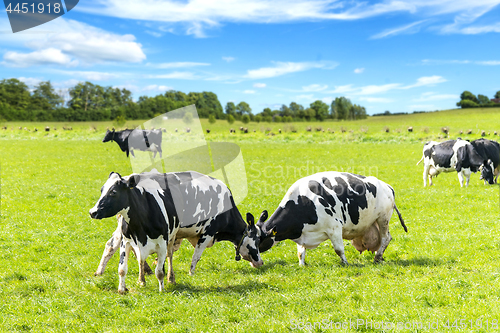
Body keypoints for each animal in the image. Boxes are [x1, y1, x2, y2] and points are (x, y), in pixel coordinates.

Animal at [90, 170, 264, 292]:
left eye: (113, 191)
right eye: (256, 241)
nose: (260, 262)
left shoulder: (171, 237)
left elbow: (166, 259)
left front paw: (166, 278)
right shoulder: (208, 232)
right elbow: (196, 256)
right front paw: (191, 274)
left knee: (113, 246)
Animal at [254, 172, 406, 266]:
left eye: (258, 240)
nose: (252, 259)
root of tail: (387, 186)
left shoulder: (334, 227)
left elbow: (339, 249)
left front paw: (345, 263)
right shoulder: (302, 232)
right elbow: (300, 252)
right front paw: (301, 265)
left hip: (383, 218)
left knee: (386, 238)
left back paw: (377, 257)